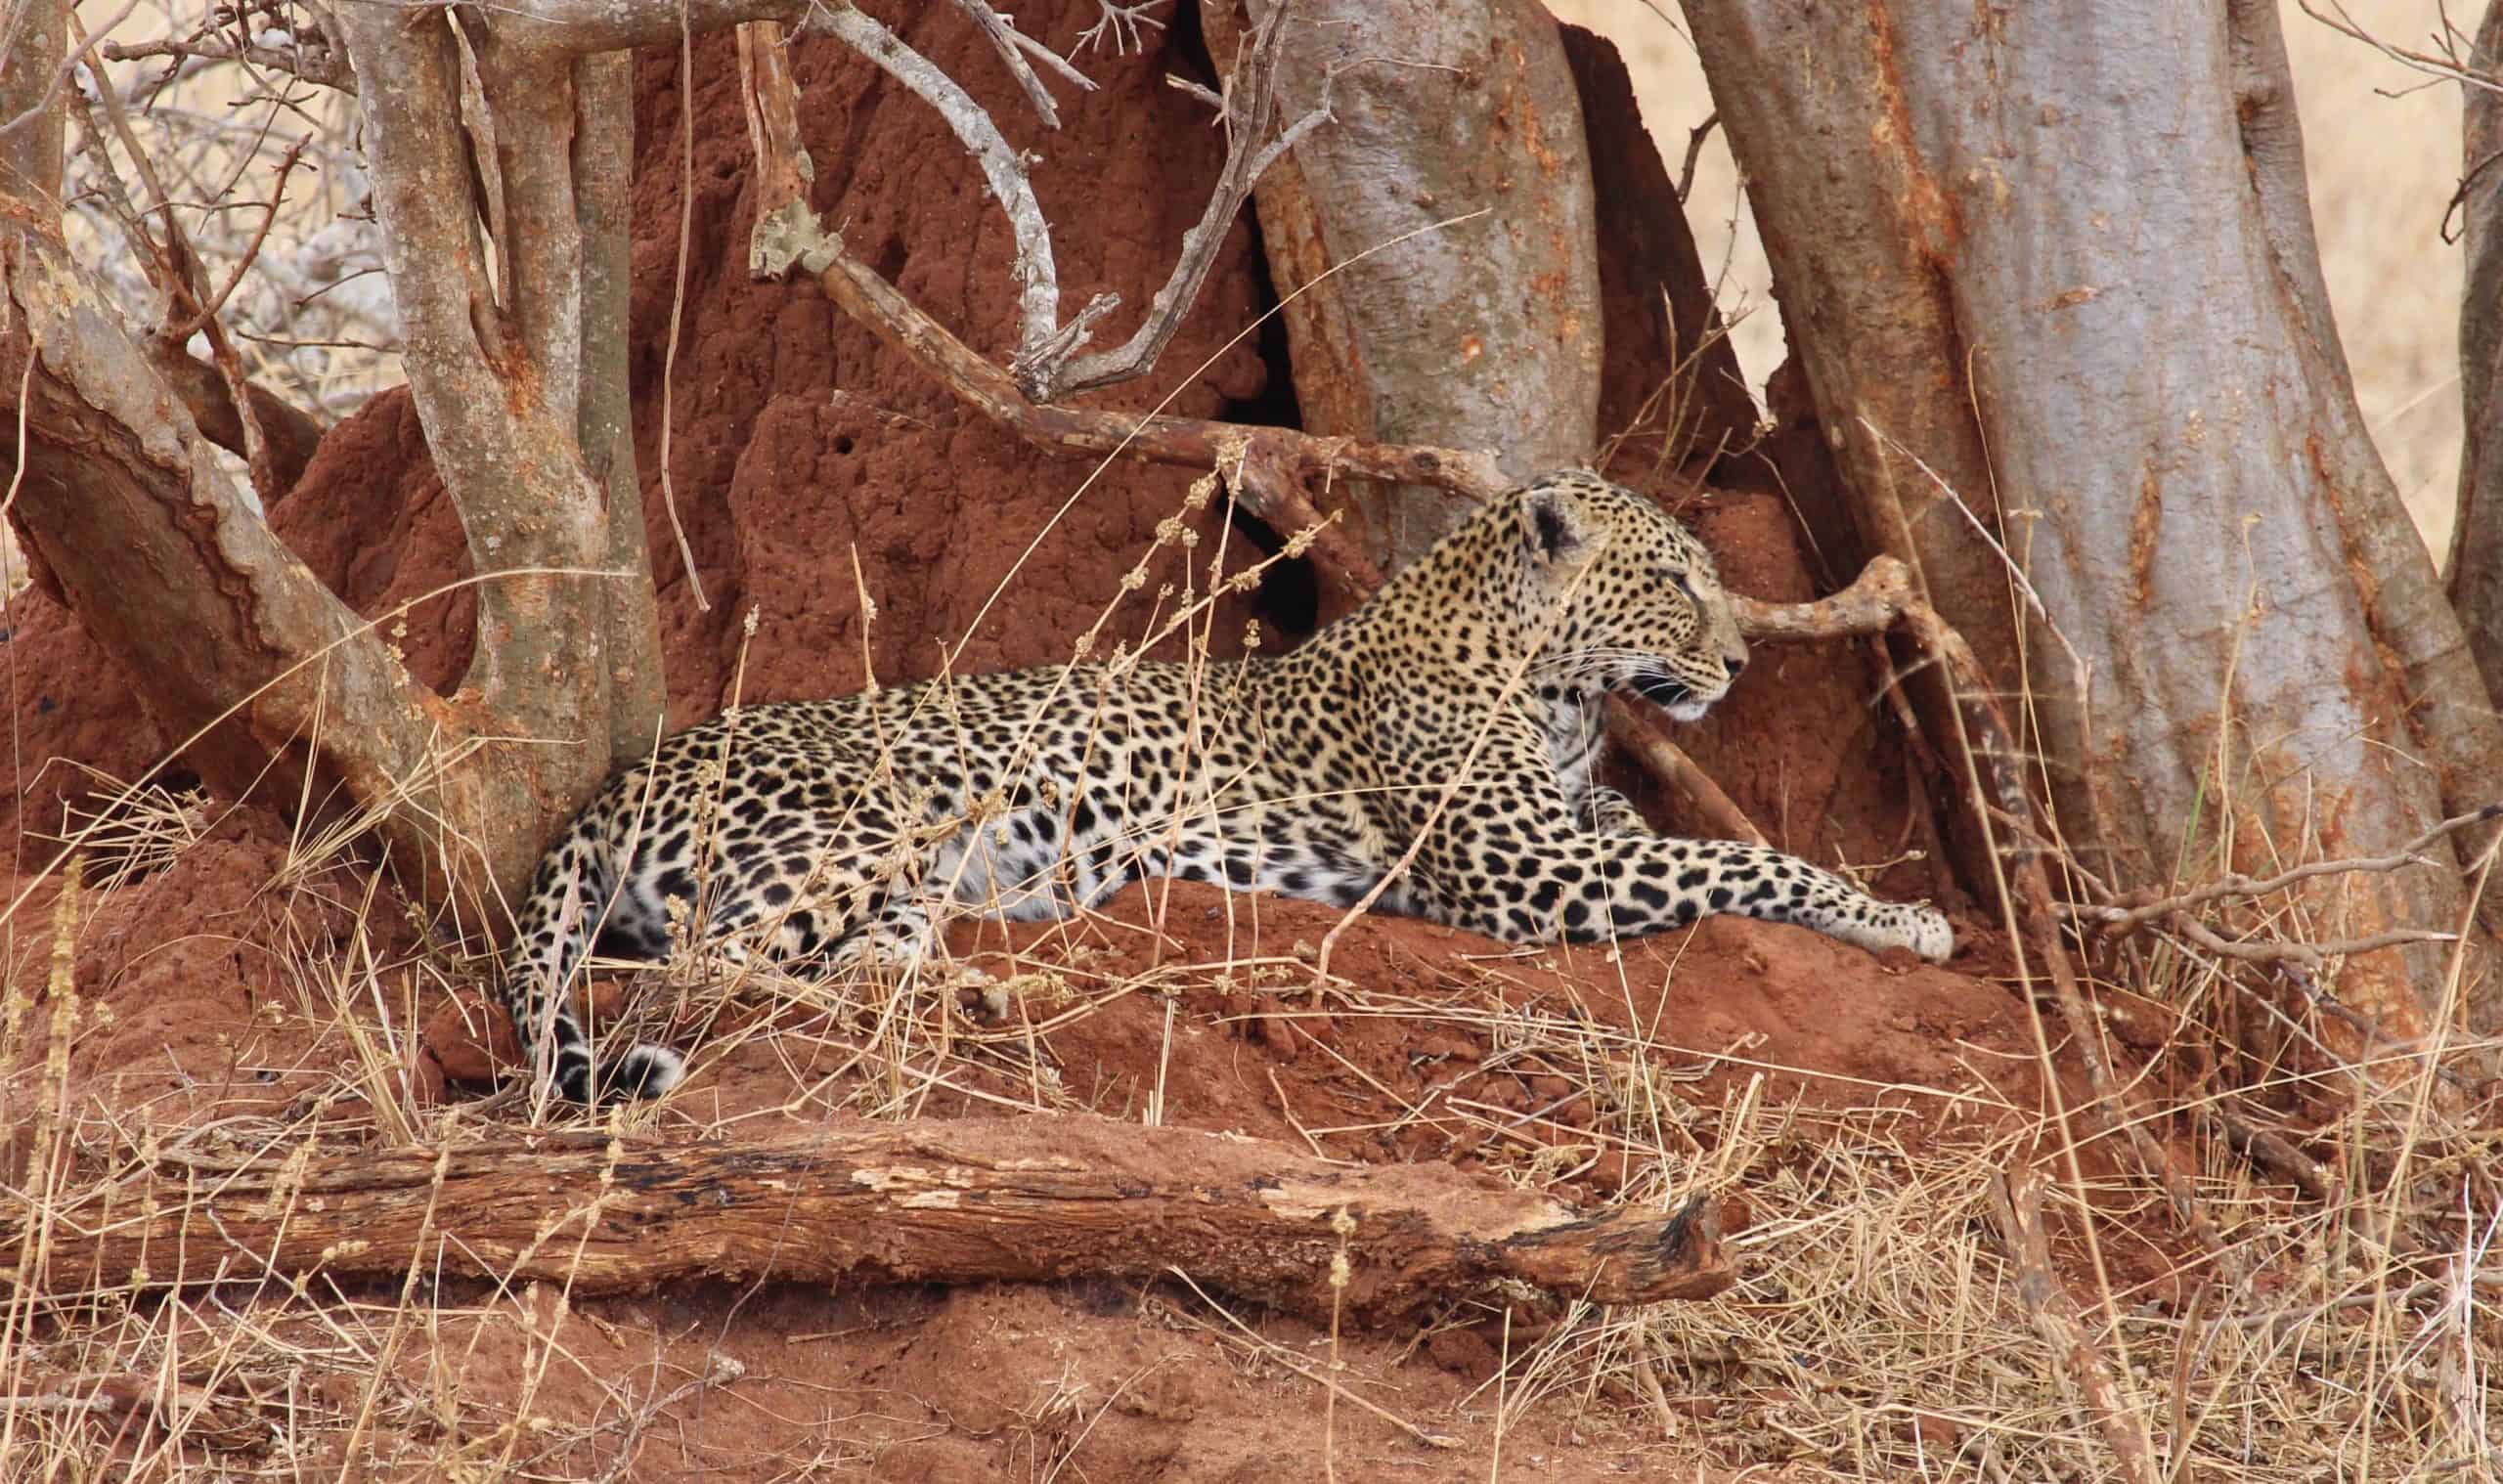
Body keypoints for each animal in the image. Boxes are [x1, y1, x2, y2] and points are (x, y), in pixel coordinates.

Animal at [499, 470, 1955, 1105]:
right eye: (1670, 581)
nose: (1739, 659)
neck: (1551, 689)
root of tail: (625, 775)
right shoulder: (1536, 876)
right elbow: (1744, 860)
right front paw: (1903, 919)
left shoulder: (1574, 830)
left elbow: (1658, 826)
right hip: (887, 812)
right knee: (713, 967)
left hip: (910, 873)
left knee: (851, 963)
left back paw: (993, 988)